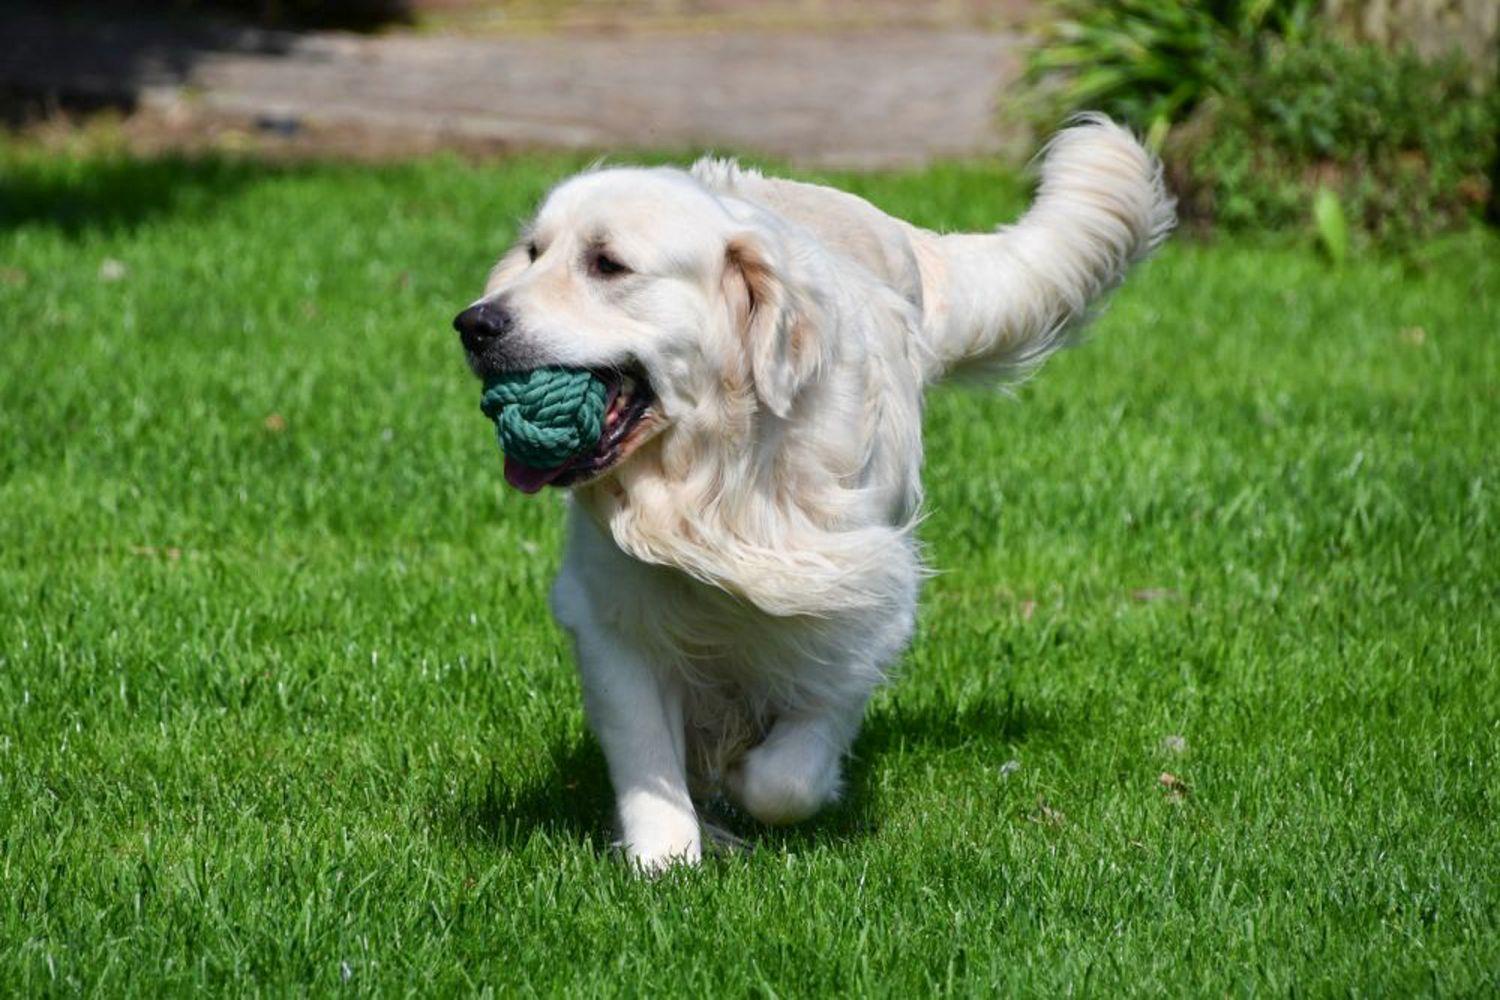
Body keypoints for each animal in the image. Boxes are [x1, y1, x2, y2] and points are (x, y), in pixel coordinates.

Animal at [450, 115, 1176, 869]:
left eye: (607, 264)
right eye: (533, 253)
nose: (474, 323)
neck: (721, 478)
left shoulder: (863, 600)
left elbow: (788, 773)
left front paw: (744, 780)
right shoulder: (610, 613)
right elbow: (646, 753)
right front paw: (666, 860)